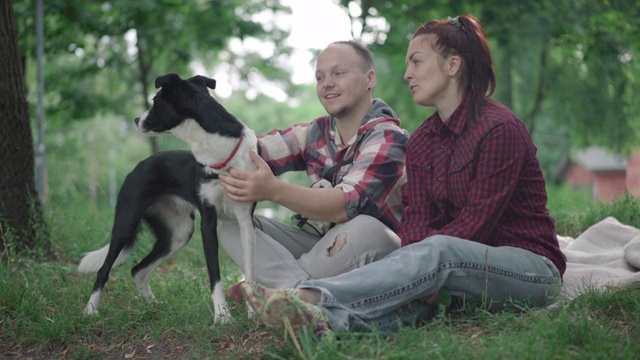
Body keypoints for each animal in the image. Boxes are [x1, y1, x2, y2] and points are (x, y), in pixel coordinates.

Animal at [79, 74, 258, 324]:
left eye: (155, 101)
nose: (136, 119)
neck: (219, 152)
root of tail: (139, 166)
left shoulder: (244, 221)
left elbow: (249, 273)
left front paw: (254, 315)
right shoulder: (208, 221)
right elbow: (215, 276)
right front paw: (222, 316)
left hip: (178, 233)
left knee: (137, 270)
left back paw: (153, 306)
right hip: (126, 224)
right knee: (104, 270)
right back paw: (90, 310)